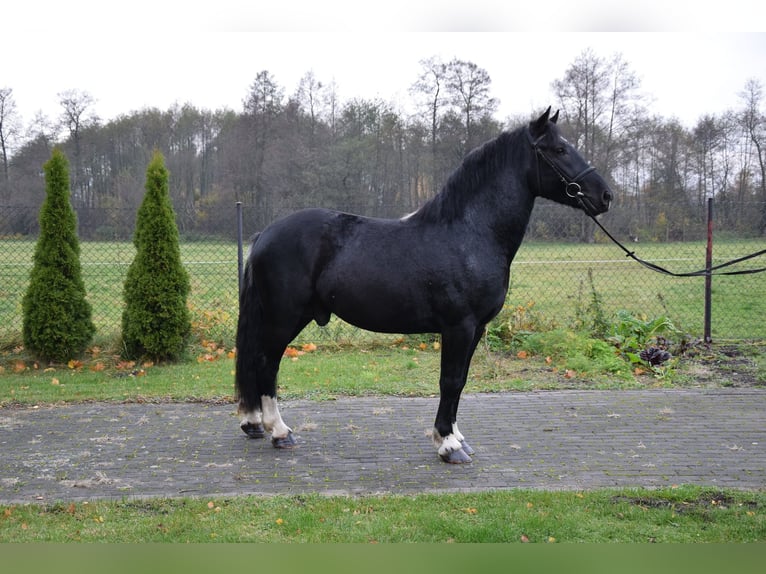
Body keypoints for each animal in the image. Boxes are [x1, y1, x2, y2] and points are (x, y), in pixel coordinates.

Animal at [235, 107, 613, 463]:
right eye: (559, 149)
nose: (605, 195)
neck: (469, 234)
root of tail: (265, 233)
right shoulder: (459, 327)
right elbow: (450, 381)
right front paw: (448, 445)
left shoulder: (475, 329)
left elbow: (461, 381)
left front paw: (457, 437)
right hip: (285, 317)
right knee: (266, 363)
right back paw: (280, 432)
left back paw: (256, 424)